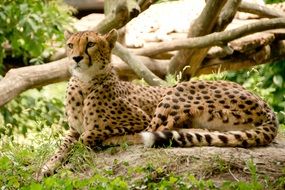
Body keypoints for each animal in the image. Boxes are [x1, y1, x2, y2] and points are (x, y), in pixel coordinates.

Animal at [36, 29, 278, 179]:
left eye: (90, 44)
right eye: (70, 45)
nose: (75, 58)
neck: (84, 82)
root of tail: (268, 108)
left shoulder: (137, 118)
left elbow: (89, 135)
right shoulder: (73, 129)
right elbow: (62, 146)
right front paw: (46, 167)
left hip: (176, 92)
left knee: (154, 131)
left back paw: (112, 141)